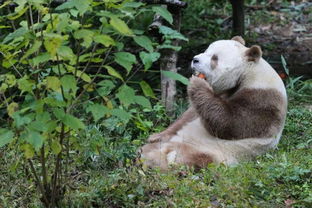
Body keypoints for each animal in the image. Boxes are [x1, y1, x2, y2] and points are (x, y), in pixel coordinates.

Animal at [140, 36, 286, 170]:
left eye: (214, 58)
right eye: (206, 51)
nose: (195, 59)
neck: (248, 72)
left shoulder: (263, 100)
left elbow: (232, 124)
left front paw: (197, 83)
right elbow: (189, 115)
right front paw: (155, 136)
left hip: (213, 150)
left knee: (192, 157)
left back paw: (159, 162)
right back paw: (146, 152)